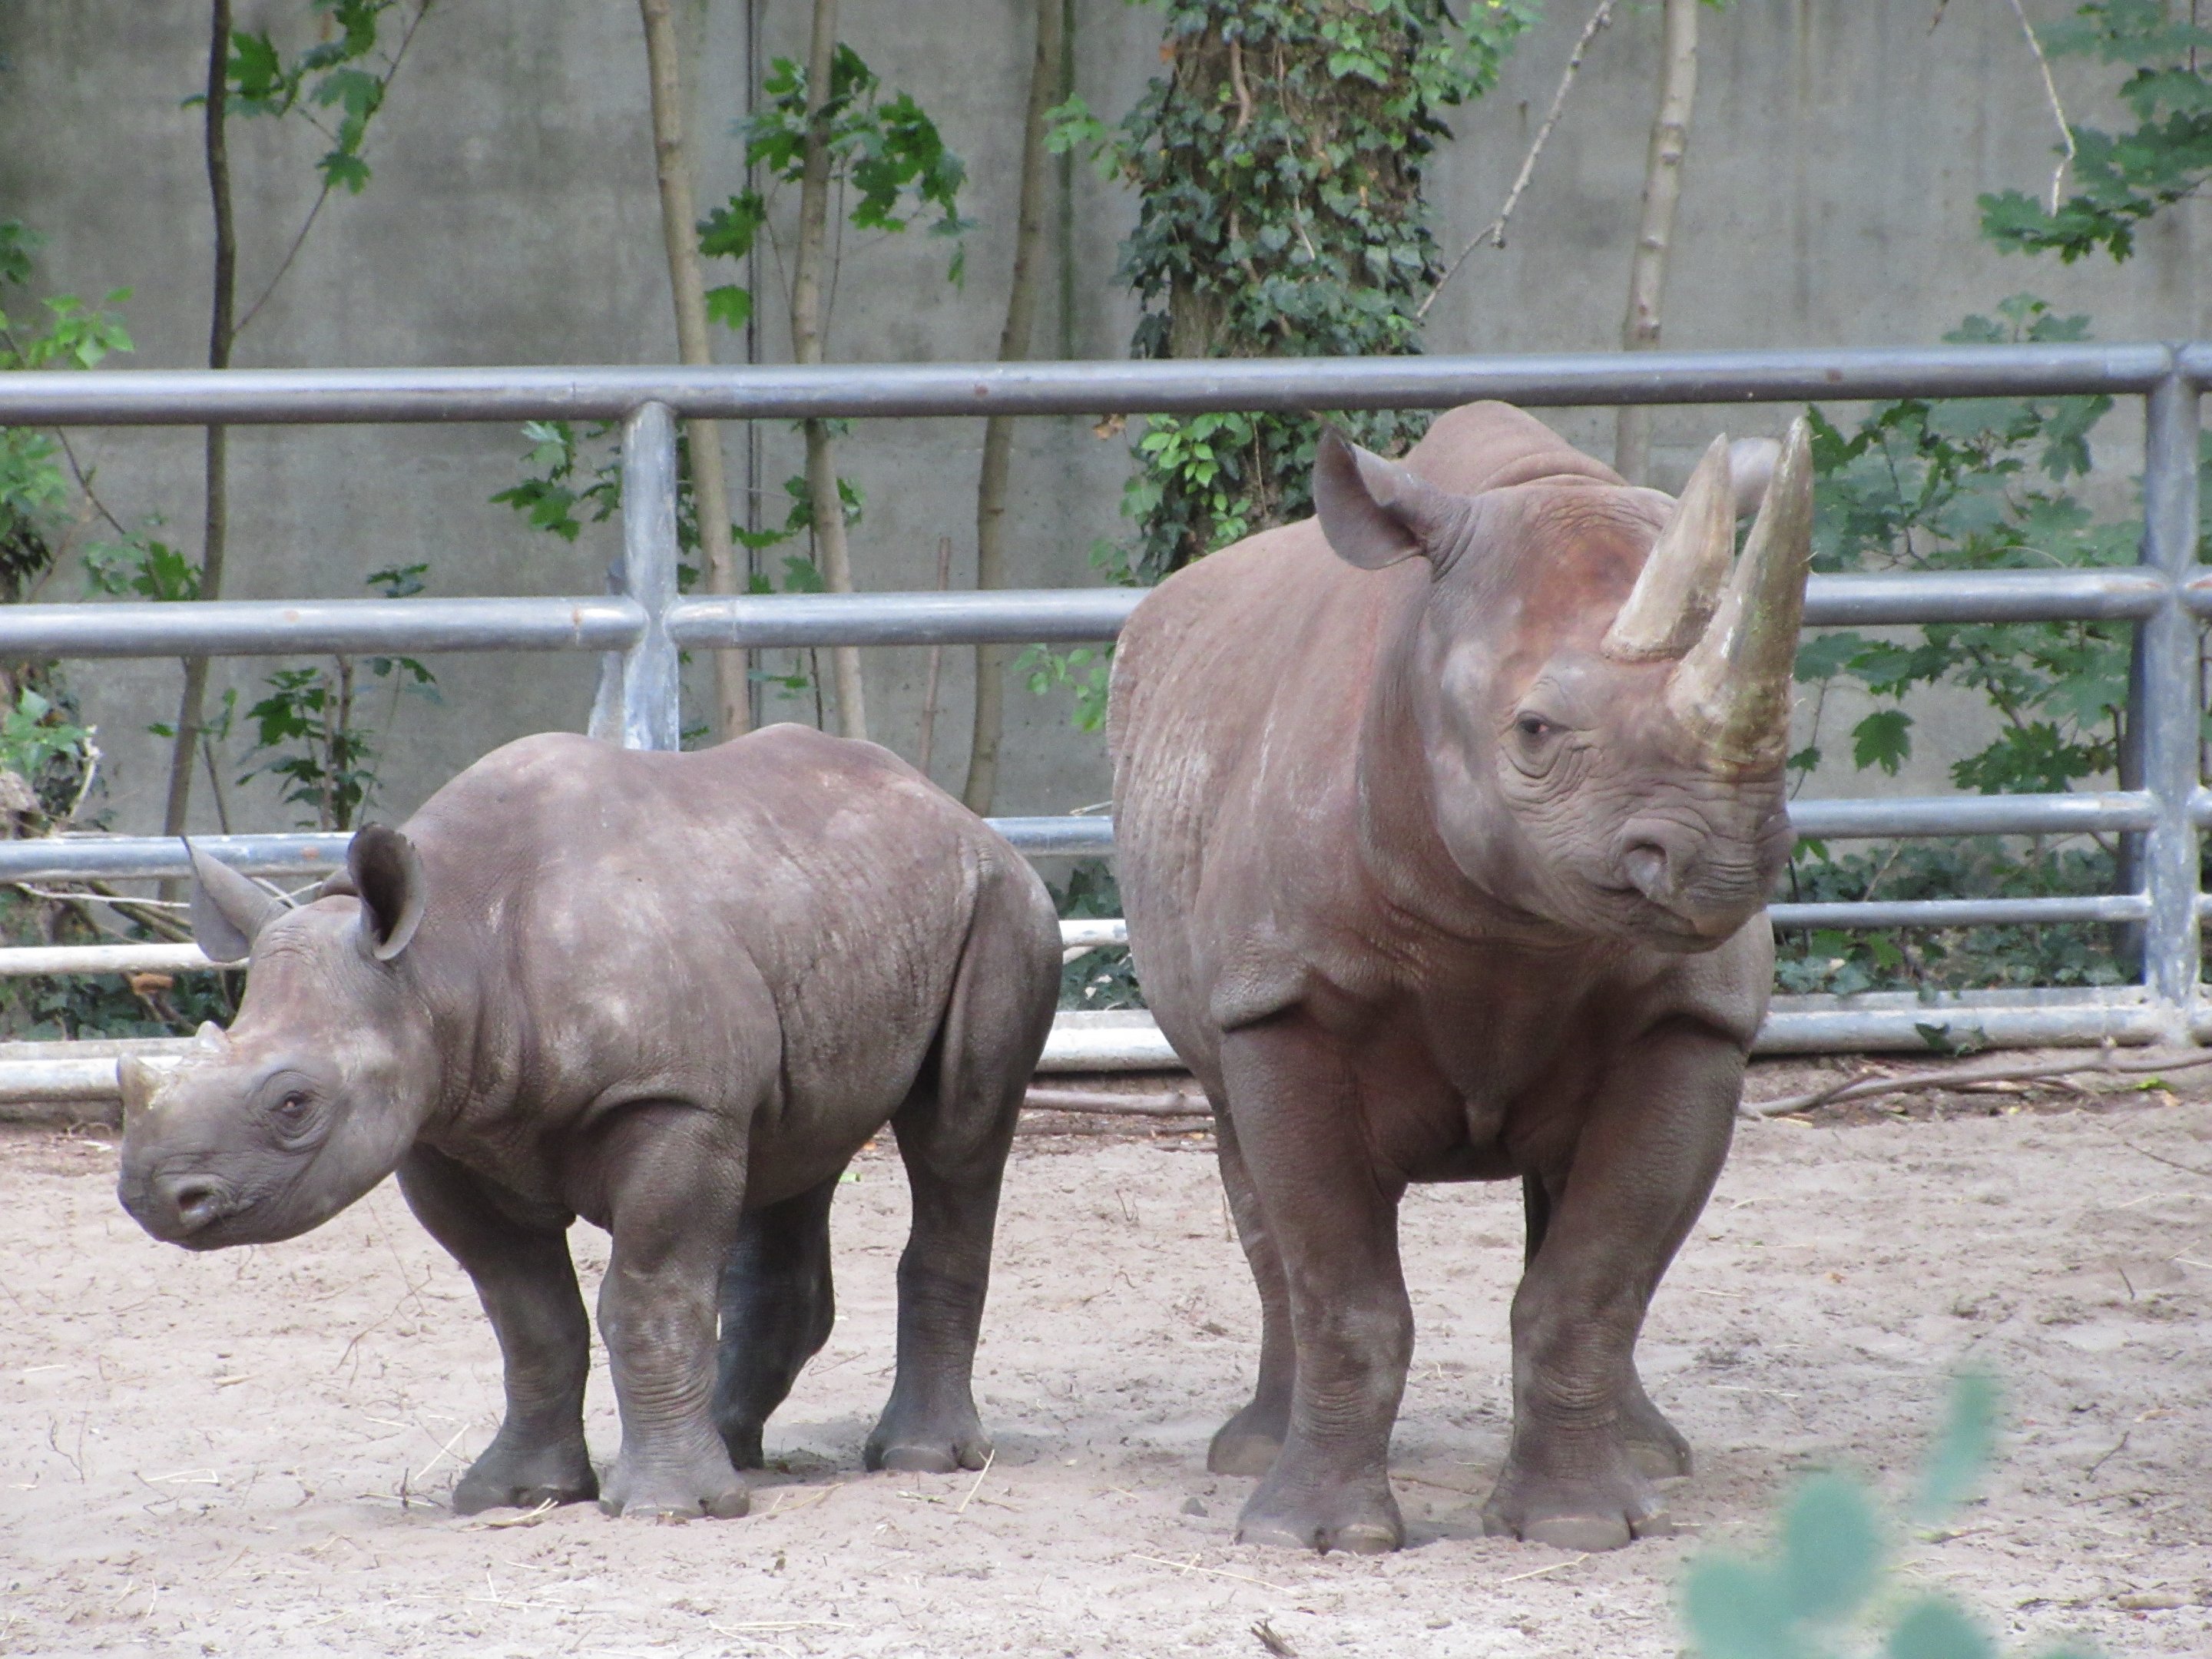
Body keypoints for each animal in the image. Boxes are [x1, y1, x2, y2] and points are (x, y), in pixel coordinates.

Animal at [116, 726, 1060, 1519]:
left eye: (294, 1105)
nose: (156, 1200)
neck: (446, 956)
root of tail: (950, 807)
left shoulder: (671, 1097)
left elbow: (647, 1294)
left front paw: (668, 1509)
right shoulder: (445, 1128)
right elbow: (529, 1316)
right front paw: (514, 1494)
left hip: (1002, 905)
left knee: (958, 1135)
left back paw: (919, 1458)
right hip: (824, 911)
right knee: (796, 1146)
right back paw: (734, 1449)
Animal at [1109, 403, 1811, 1554]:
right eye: (1533, 732)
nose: (1721, 862)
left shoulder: (1691, 1017)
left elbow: (1592, 1283)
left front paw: (1578, 1526)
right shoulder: (1282, 998)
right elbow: (1340, 1289)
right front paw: (1315, 1538)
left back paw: (1652, 1458)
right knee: (1247, 1175)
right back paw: (1249, 1456)